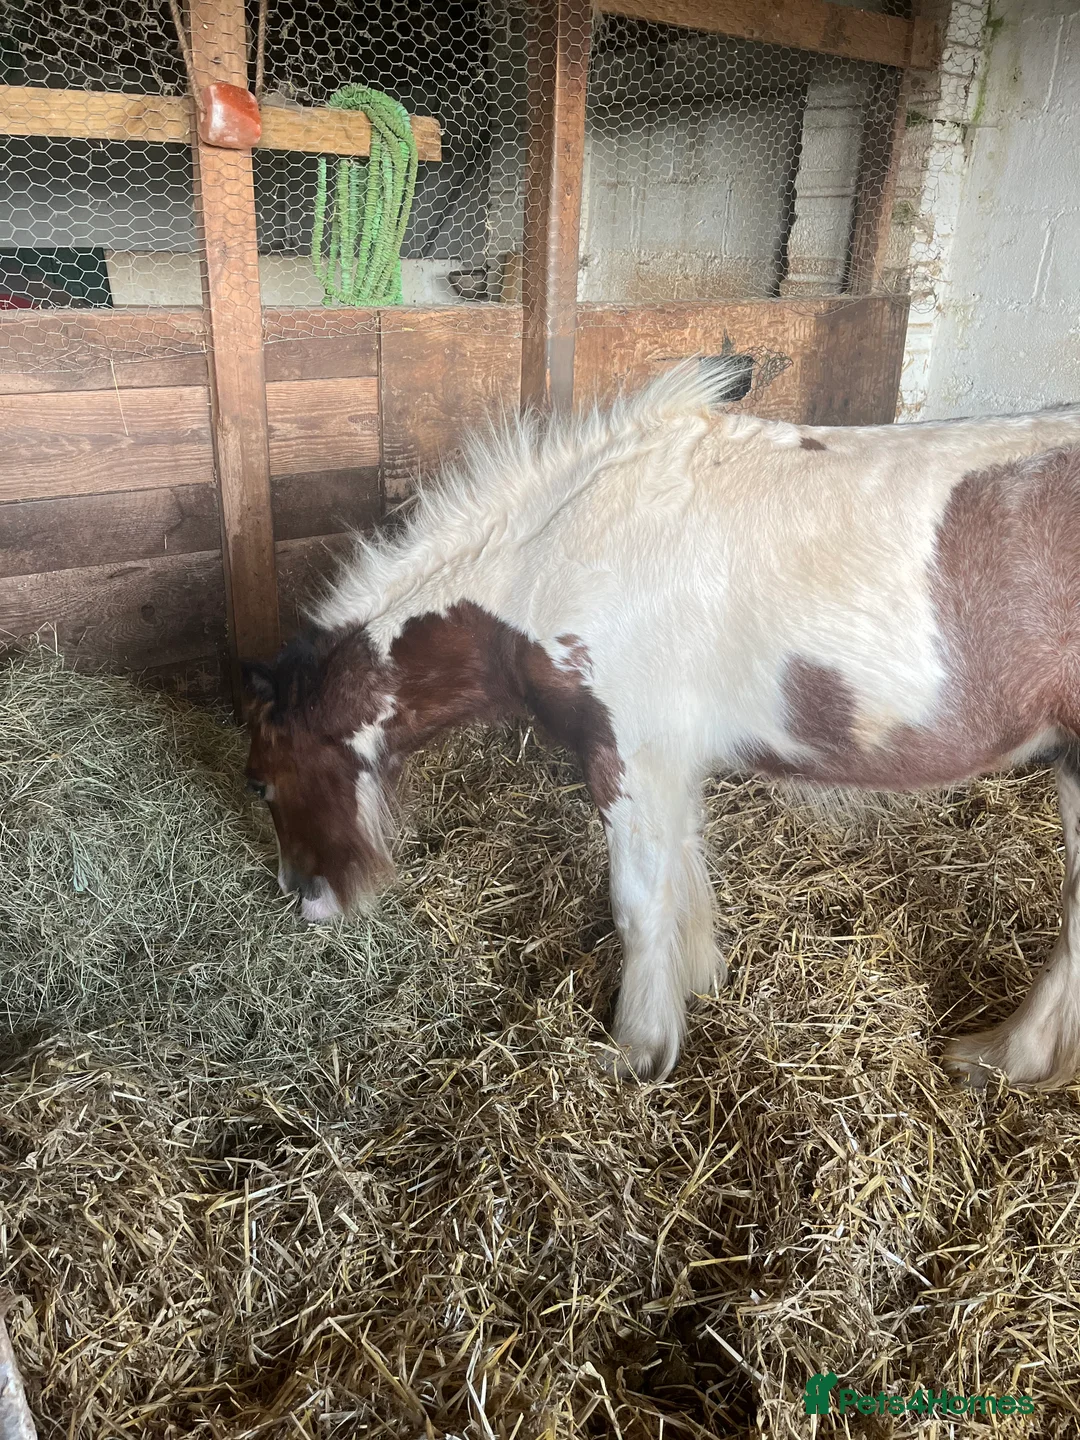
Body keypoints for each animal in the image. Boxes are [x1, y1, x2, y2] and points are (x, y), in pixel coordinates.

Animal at [243, 359, 1080, 1086]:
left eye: (258, 783)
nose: (303, 898)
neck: (554, 558)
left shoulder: (628, 756)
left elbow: (640, 903)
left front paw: (637, 1047)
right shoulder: (669, 761)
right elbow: (686, 873)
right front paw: (699, 978)